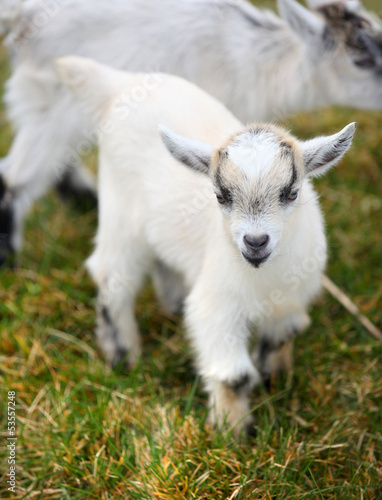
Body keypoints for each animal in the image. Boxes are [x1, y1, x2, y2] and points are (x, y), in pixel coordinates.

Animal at [55, 56, 354, 436]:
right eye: (220, 196)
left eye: (292, 192)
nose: (255, 242)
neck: (265, 278)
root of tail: (118, 84)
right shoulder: (217, 307)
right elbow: (233, 376)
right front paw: (233, 433)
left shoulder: (291, 301)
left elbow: (281, 338)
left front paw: (277, 381)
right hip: (120, 216)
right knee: (113, 278)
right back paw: (123, 357)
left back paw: (171, 304)